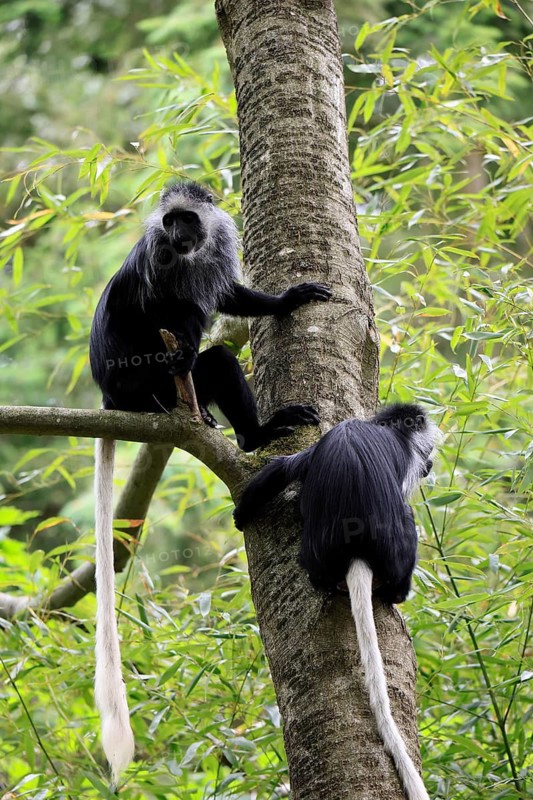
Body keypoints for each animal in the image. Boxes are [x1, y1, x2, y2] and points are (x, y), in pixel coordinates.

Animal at [89, 181, 331, 785]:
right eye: (170, 222)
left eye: (187, 221)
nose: (177, 234)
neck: (187, 254)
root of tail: (110, 397)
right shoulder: (158, 263)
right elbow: (174, 309)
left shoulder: (214, 251)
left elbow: (230, 294)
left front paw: (285, 299)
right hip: (145, 387)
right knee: (204, 348)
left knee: (215, 359)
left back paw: (249, 433)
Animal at [233, 404, 439, 800]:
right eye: (426, 452)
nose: (430, 463)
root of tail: (354, 552)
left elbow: (283, 468)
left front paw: (240, 514)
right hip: (394, 549)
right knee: (405, 522)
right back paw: (398, 592)